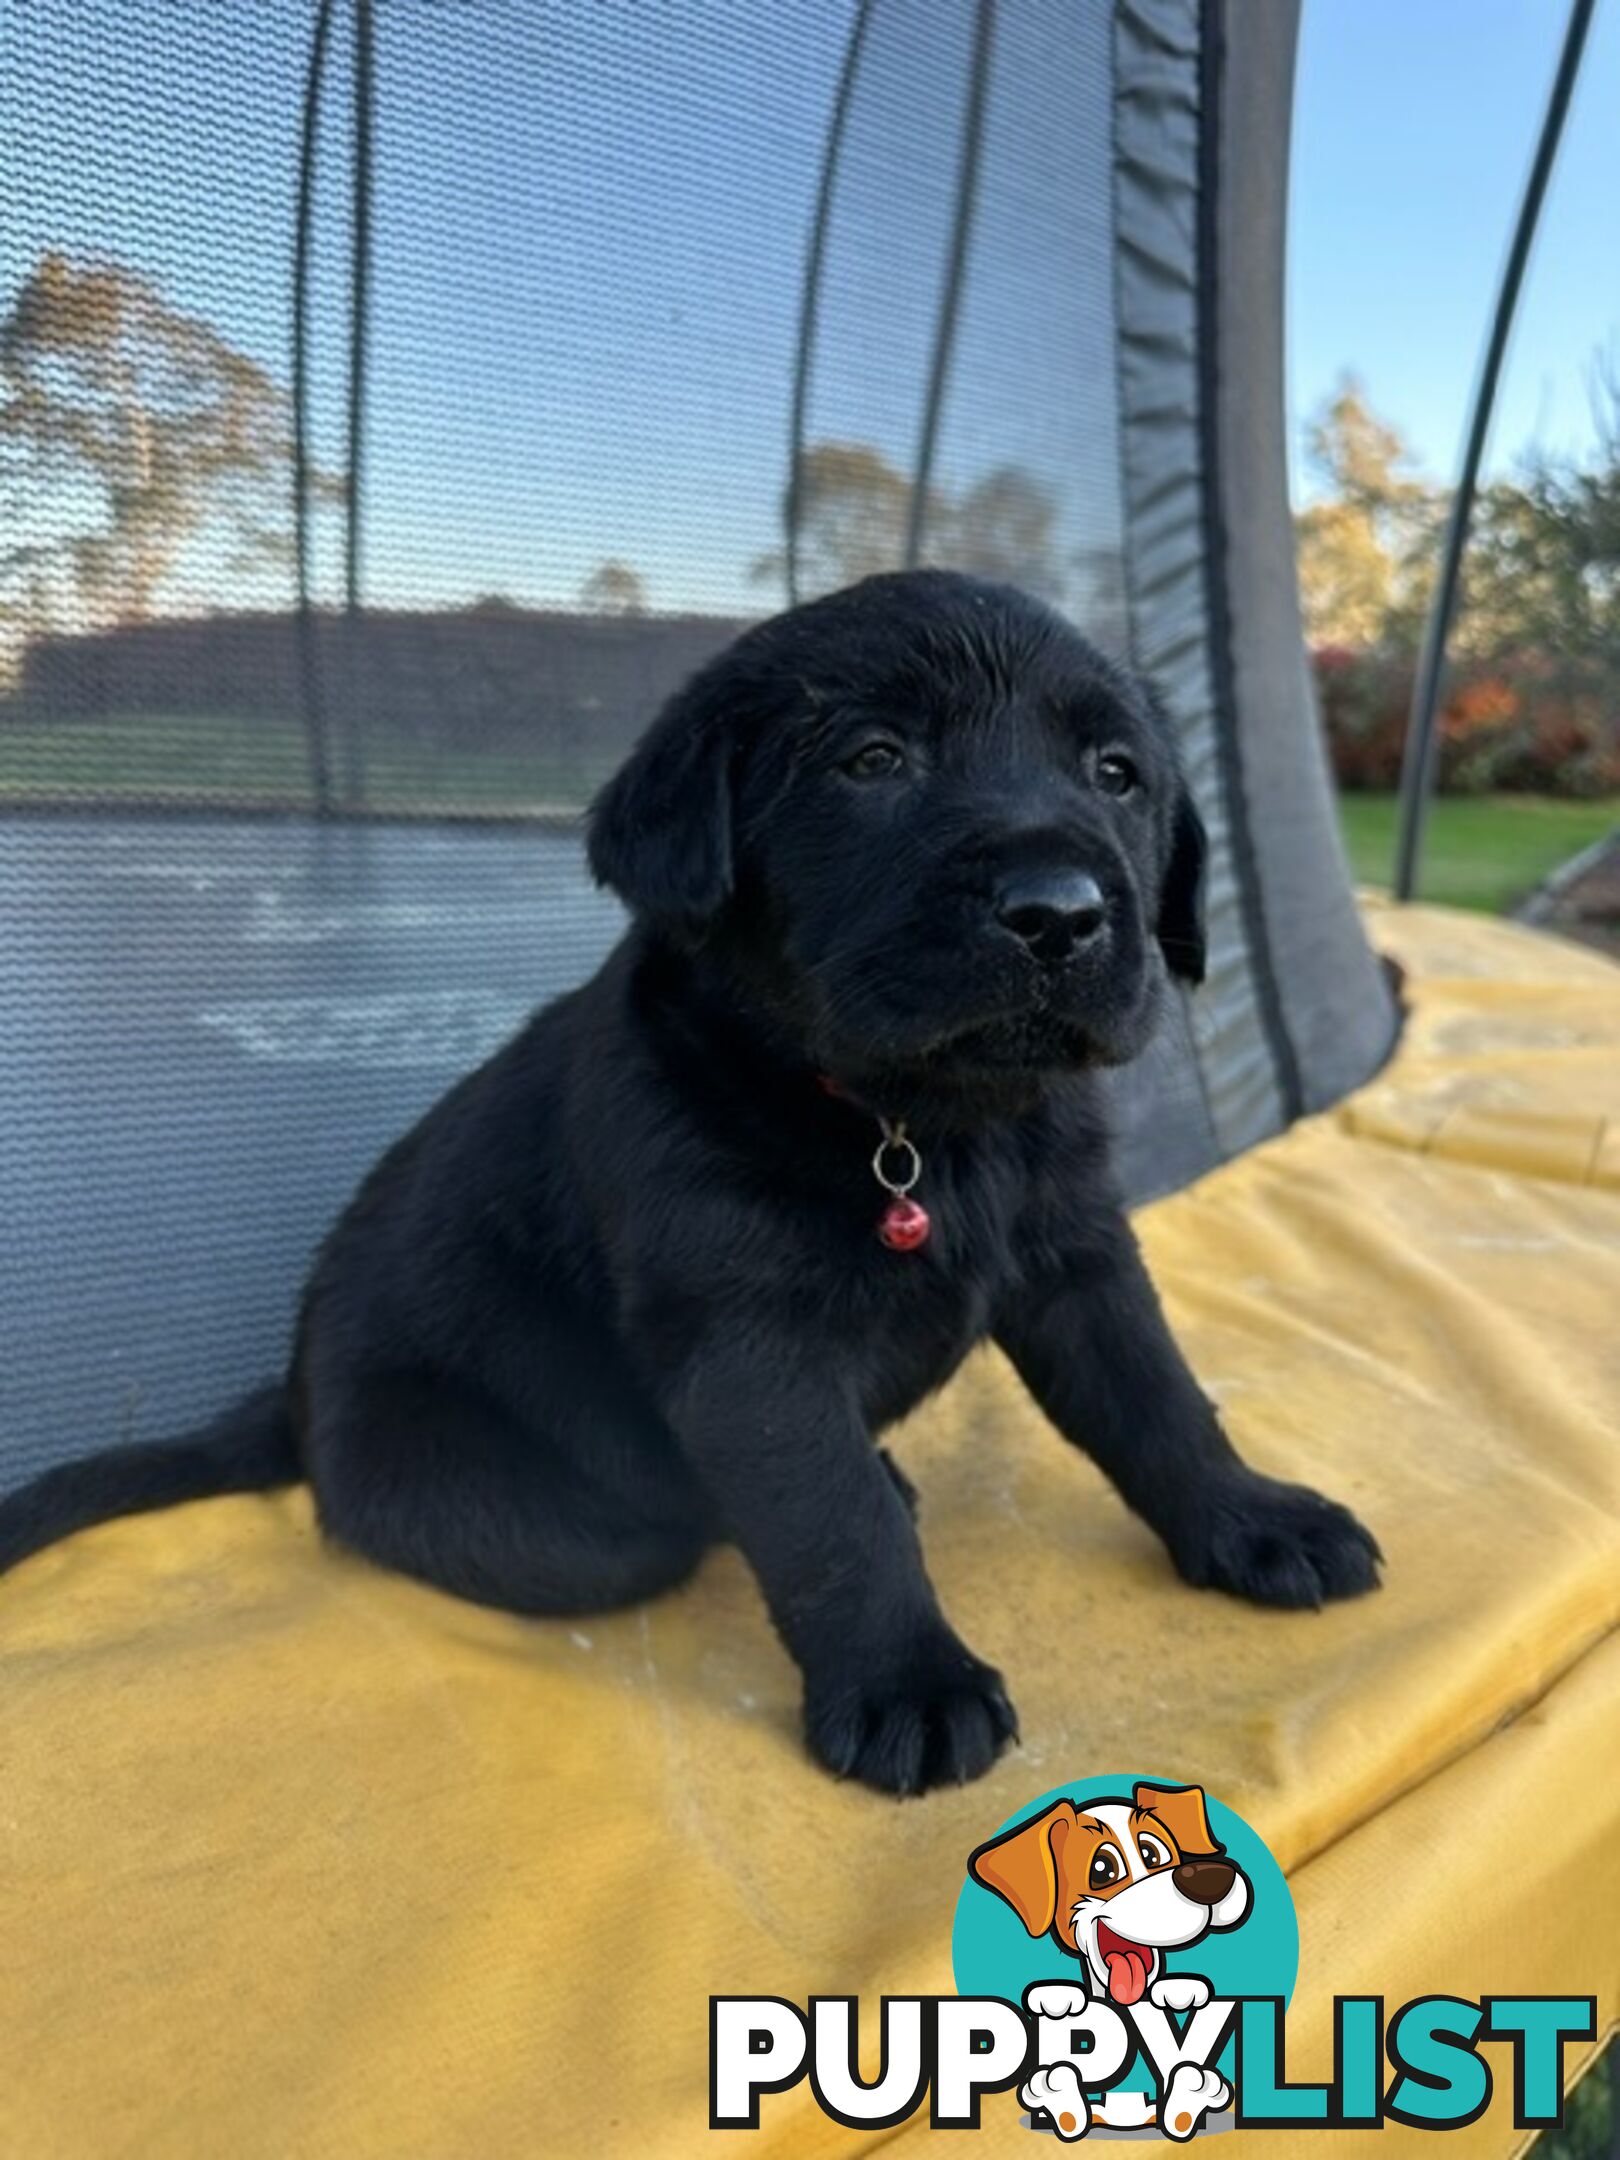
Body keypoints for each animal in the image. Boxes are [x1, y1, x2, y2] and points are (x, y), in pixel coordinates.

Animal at [0, 570, 1382, 1788]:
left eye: (1117, 774)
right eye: (872, 760)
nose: (1061, 912)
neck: (914, 1127)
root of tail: (280, 1403)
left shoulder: (1080, 1254)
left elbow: (1161, 1398)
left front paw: (1256, 1518)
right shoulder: (746, 1342)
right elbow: (828, 1517)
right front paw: (906, 1684)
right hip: (550, 1514)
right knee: (680, 1516)